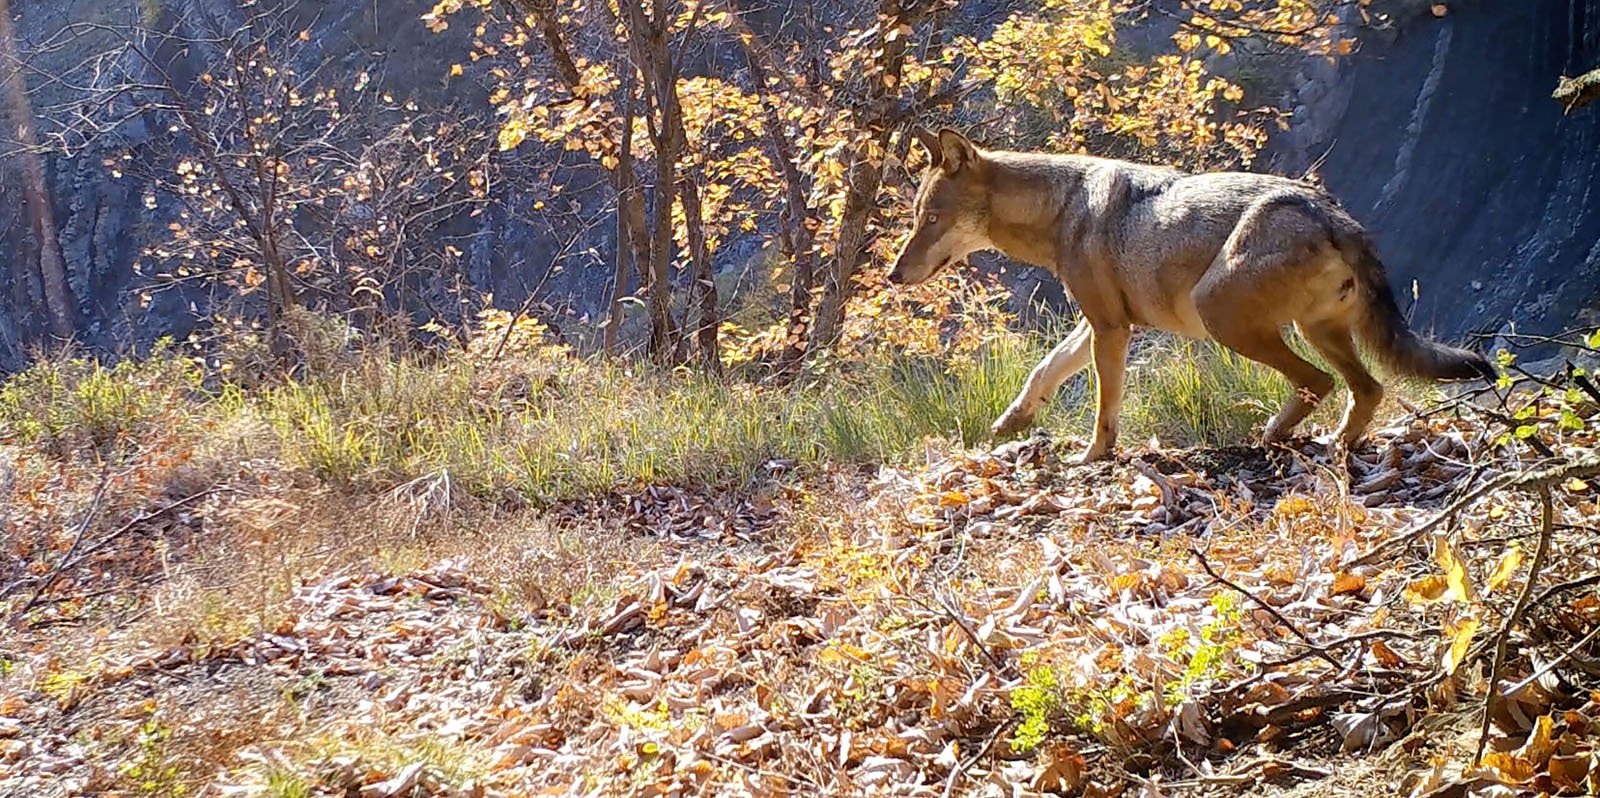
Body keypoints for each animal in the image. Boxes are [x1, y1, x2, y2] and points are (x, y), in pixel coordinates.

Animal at [896, 128, 1491, 466]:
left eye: (932, 220)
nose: (895, 276)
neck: (1061, 209)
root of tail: (1329, 211)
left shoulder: (1111, 330)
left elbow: (1104, 407)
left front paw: (1093, 456)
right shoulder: (1100, 323)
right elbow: (1044, 370)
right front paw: (1013, 421)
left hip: (1225, 317)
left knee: (1320, 383)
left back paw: (1278, 436)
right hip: (1316, 331)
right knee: (1366, 389)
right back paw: (1336, 446)